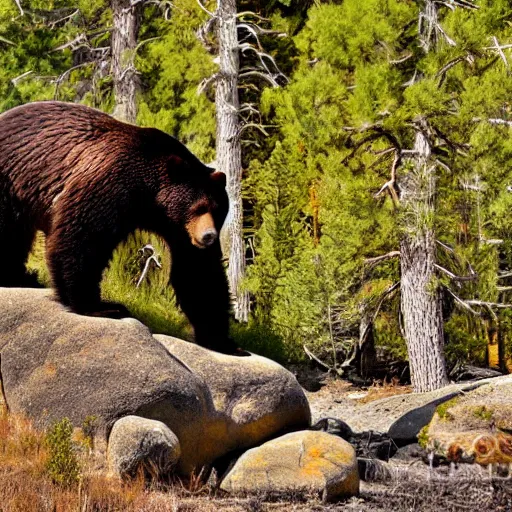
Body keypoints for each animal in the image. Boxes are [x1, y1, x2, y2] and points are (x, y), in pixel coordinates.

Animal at [0, 102, 236, 354]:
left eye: (218, 209)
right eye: (198, 207)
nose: (208, 236)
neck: (150, 198)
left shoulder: (179, 230)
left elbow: (198, 271)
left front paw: (221, 340)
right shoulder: (112, 183)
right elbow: (83, 236)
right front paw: (100, 305)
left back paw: (20, 276)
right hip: (10, 180)